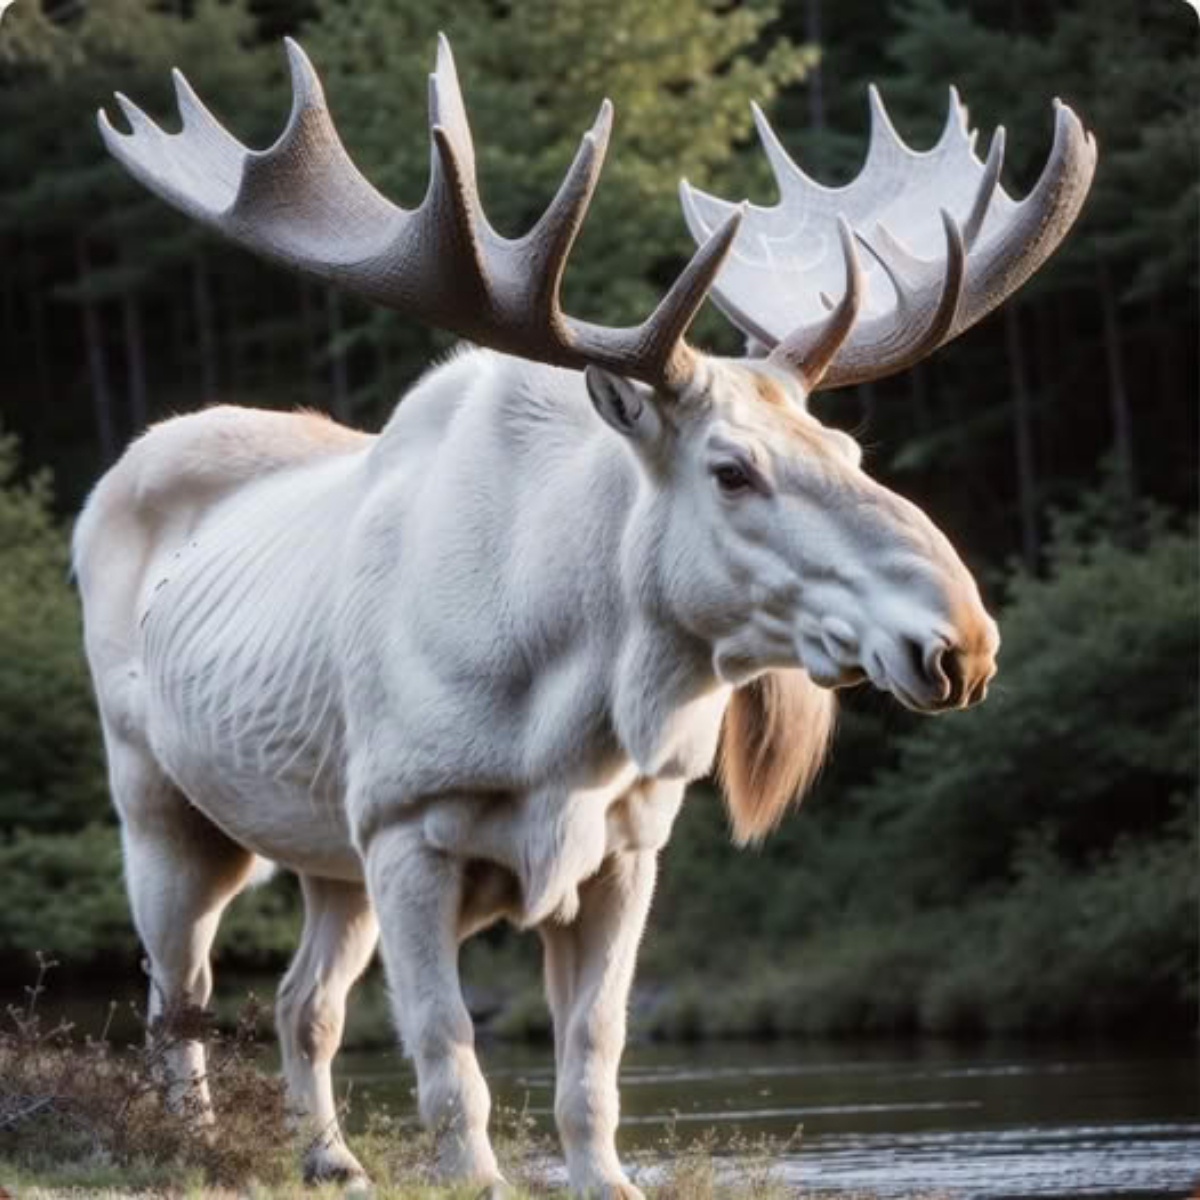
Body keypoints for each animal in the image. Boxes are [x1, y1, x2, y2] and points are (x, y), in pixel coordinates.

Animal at [72, 37, 1089, 1200]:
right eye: (732, 471)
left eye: (850, 450)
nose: (961, 639)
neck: (569, 705)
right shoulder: (408, 831)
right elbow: (449, 1054)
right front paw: (474, 1172)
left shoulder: (627, 845)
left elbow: (594, 1057)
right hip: (163, 809)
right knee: (179, 996)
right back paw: (193, 1146)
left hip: (331, 861)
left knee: (301, 1002)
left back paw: (329, 1156)